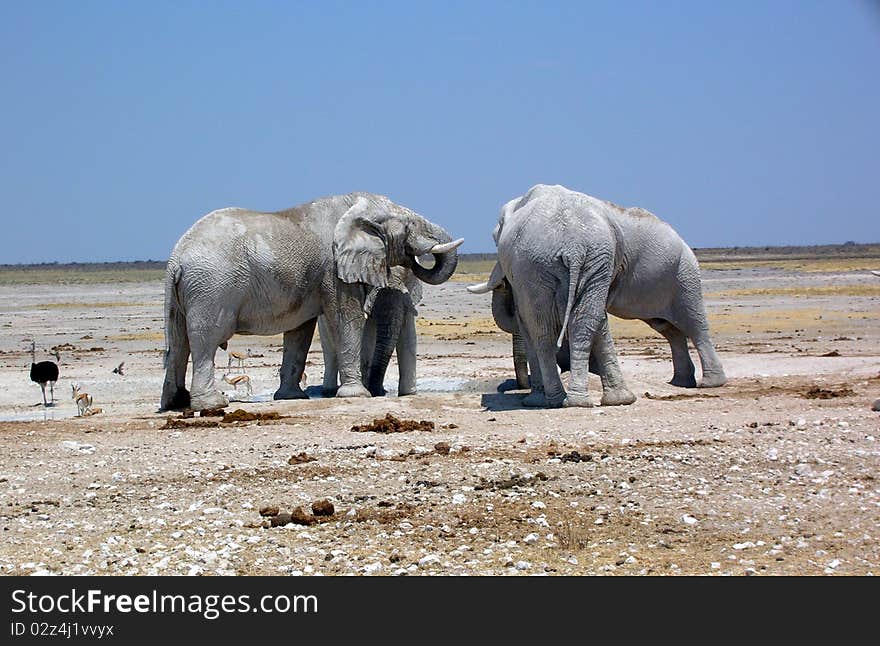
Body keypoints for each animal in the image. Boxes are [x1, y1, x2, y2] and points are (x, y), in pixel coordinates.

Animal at [320, 266, 422, 398]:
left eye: (407, 276)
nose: (376, 393)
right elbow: (363, 337)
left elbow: (408, 337)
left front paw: (408, 395)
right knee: (329, 348)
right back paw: (329, 391)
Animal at [470, 182, 724, 408]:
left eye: (494, 237)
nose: (503, 284)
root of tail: (573, 246)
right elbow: (596, 321)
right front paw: (619, 399)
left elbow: (531, 322)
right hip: (573, 260)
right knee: (664, 329)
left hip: (683, 273)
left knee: (693, 323)